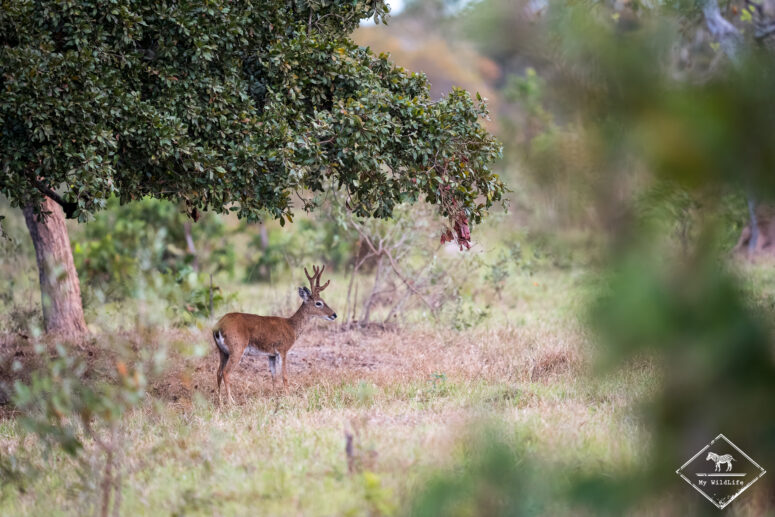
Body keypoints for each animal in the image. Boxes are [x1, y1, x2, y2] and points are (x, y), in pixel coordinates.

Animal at [212, 265, 337, 404]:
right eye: (318, 303)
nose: (334, 315)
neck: (291, 327)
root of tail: (218, 326)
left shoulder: (271, 354)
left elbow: (273, 376)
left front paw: (275, 396)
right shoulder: (283, 349)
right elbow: (284, 375)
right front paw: (288, 396)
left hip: (222, 351)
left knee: (218, 372)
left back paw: (219, 400)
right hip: (237, 347)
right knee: (226, 372)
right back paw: (231, 401)